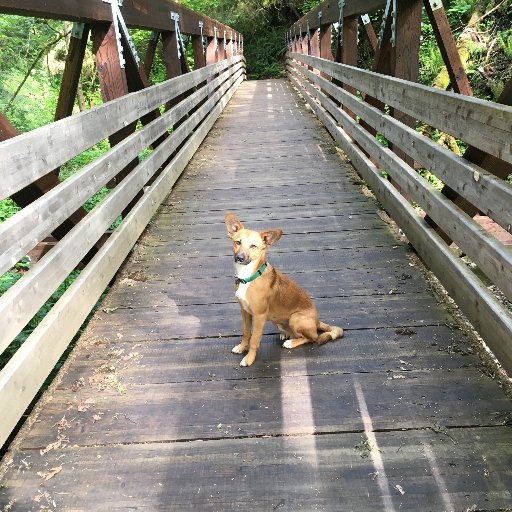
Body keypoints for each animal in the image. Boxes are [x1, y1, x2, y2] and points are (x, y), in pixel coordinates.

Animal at [225, 212, 342, 368]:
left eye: (253, 246)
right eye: (238, 242)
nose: (239, 257)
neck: (248, 276)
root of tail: (317, 321)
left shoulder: (259, 316)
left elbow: (254, 339)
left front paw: (249, 358)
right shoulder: (244, 312)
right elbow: (246, 333)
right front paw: (241, 347)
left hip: (296, 318)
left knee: (313, 337)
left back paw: (291, 342)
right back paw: (286, 334)